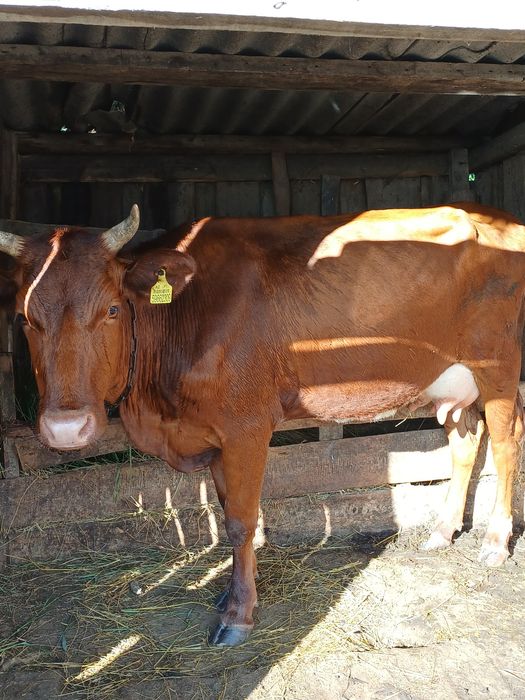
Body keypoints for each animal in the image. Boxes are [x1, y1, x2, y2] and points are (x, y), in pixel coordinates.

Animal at [0, 202, 524, 646]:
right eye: (24, 318)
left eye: (111, 309)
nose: (65, 428)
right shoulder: (212, 436)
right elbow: (228, 511)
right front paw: (233, 590)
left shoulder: (246, 428)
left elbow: (240, 521)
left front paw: (238, 614)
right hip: (454, 384)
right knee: (465, 442)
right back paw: (442, 532)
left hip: (498, 367)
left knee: (505, 442)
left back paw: (496, 542)